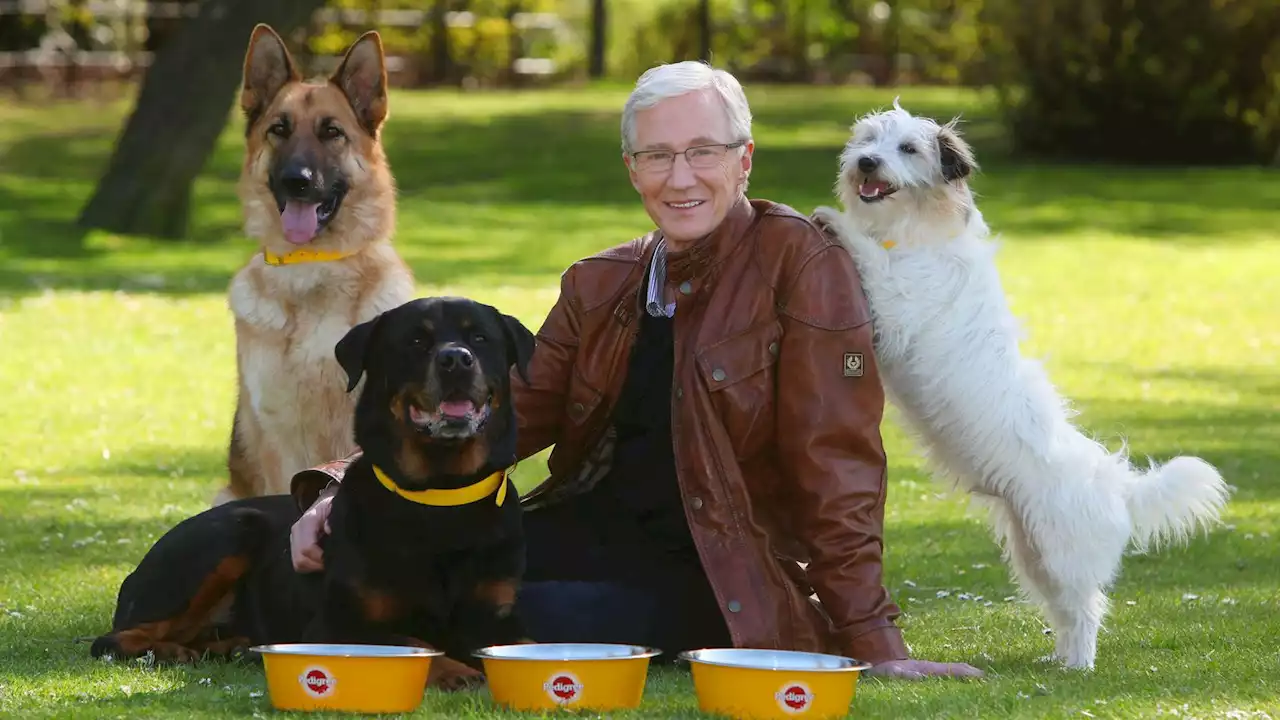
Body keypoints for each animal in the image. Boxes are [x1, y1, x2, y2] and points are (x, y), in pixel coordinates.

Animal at [92, 297, 537, 691]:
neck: (441, 494)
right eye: (415, 340)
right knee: (112, 640)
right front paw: (454, 670)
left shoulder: (496, 617)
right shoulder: (335, 624)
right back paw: (174, 651)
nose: (456, 359)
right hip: (227, 535)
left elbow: (528, 644)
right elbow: (411, 641)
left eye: (479, 337)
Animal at [808, 102, 1228, 666]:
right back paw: (1061, 662)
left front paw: (834, 221)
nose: (867, 163)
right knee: (1065, 612)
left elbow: (869, 258)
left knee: (1087, 610)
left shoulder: (895, 310)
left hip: (1062, 556)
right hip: (1033, 553)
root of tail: (1117, 483)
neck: (915, 231)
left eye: (909, 148)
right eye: (869, 140)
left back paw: (1080, 665)